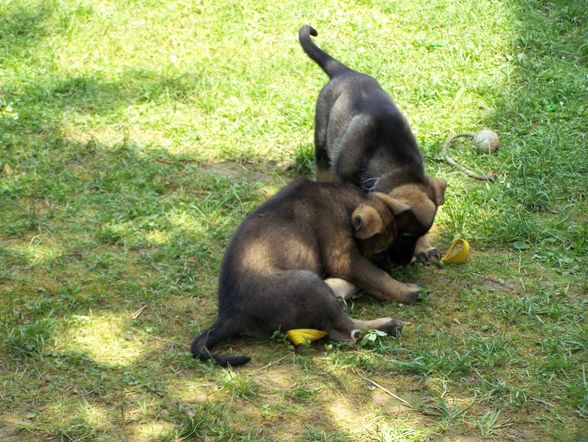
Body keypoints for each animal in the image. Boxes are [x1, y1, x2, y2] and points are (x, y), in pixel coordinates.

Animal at [191, 180, 416, 366]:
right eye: (379, 251)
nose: (392, 268)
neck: (342, 200)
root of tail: (231, 314)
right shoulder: (344, 259)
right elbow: (376, 277)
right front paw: (406, 290)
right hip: (308, 283)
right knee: (345, 331)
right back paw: (389, 324)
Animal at [300, 25, 448, 266]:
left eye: (419, 234)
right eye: (402, 234)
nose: (403, 263)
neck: (397, 166)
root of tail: (345, 72)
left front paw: (424, 248)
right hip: (322, 141)